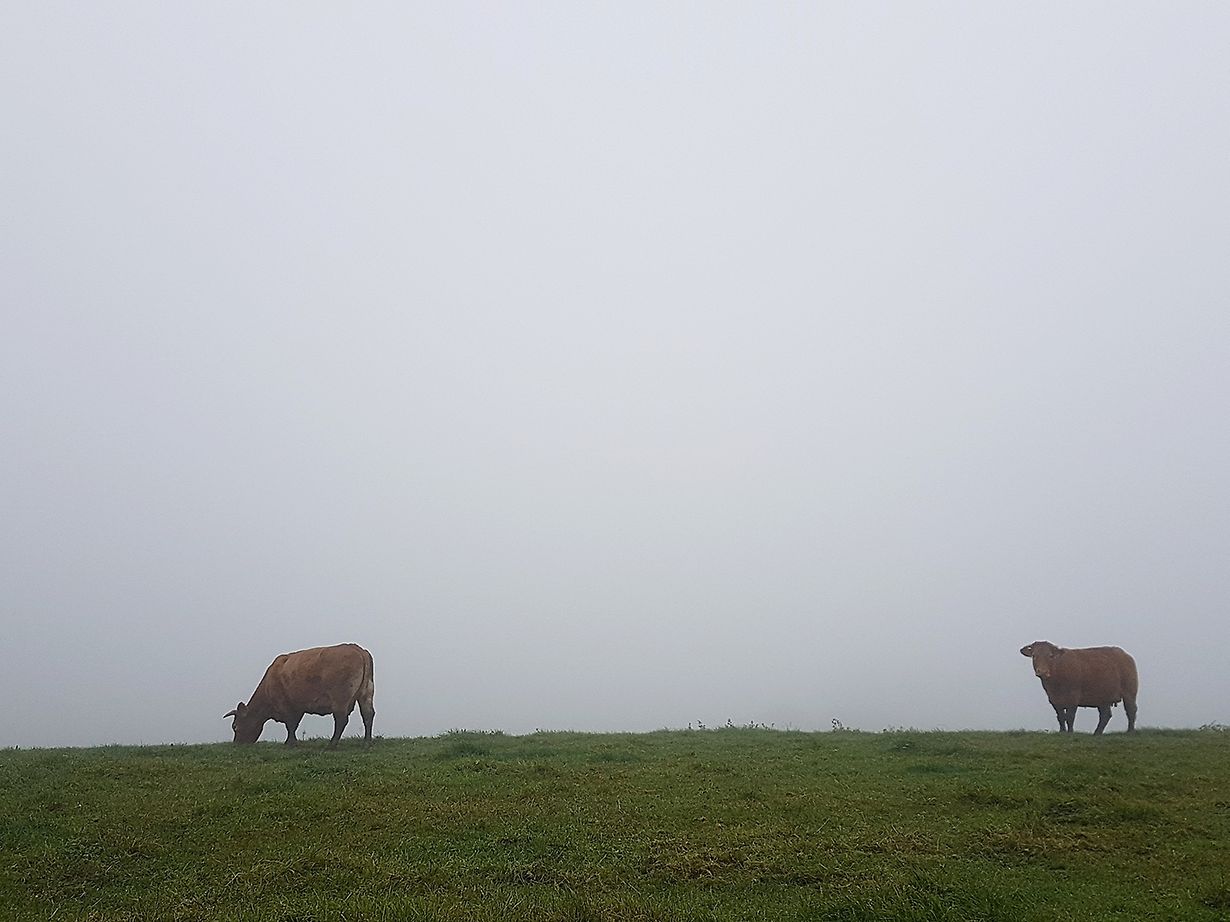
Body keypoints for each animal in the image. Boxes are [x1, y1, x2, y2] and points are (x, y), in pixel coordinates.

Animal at [224, 643, 375, 748]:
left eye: (235, 726)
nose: (237, 744)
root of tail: (357, 649)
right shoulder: (298, 707)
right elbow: (294, 724)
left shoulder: (285, 705)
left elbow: (290, 725)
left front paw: (291, 743)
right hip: (366, 693)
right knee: (368, 715)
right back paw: (367, 743)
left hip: (340, 698)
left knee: (341, 720)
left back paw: (332, 744)